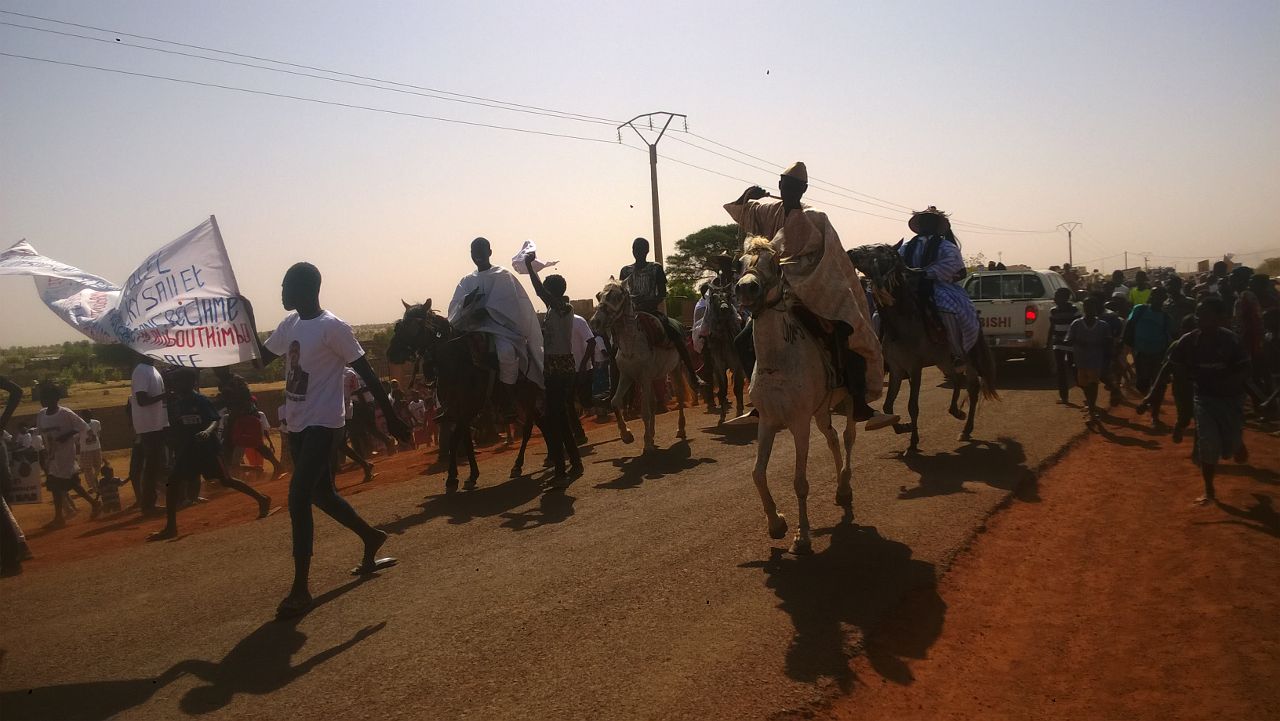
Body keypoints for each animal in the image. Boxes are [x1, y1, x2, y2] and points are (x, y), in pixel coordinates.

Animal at [591, 276, 691, 450]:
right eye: (599, 296)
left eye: (617, 296)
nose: (595, 322)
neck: (631, 344)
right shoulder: (628, 376)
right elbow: (615, 401)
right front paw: (627, 435)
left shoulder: (644, 377)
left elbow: (645, 410)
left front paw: (647, 443)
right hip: (654, 377)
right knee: (653, 402)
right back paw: (652, 434)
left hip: (675, 369)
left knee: (679, 396)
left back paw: (680, 430)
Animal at [737, 239, 855, 555]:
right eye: (740, 263)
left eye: (776, 264)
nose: (746, 288)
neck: (778, 363)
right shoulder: (766, 422)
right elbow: (757, 473)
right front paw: (776, 523)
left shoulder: (799, 424)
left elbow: (800, 482)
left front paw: (802, 537)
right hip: (822, 410)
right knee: (833, 437)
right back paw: (841, 489)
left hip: (849, 399)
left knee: (848, 436)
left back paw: (845, 485)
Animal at [849, 245, 998, 453]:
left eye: (879, 248)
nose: (851, 252)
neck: (902, 323)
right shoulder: (896, 369)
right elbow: (888, 405)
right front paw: (904, 427)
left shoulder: (914, 368)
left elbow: (913, 406)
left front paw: (912, 443)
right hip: (944, 361)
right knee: (958, 380)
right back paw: (956, 412)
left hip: (967, 356)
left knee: (972, 388)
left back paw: (966, 429)